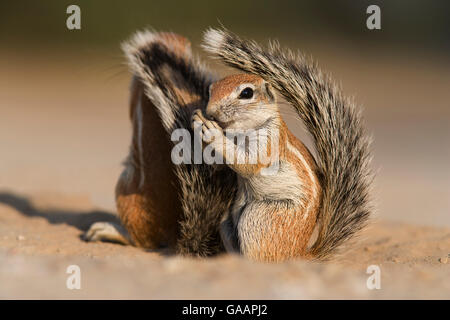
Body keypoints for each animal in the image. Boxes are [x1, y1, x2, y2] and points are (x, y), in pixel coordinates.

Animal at [84, 27, 372, 262]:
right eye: (211, 90)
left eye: (246, 93)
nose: (210, 111)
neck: (240, 128)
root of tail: (301, 254)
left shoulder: (268, 141)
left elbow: (248, 162)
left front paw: (212, 133)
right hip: (229, 222)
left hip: (261, 217)